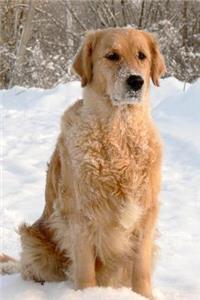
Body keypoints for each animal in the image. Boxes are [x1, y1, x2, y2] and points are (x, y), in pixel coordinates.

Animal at [0, 27, 166, 298]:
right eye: (112, 56)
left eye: (141, 56)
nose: (135, 81)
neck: (119, 133)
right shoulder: (81, 214)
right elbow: (86, 269)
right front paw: (87, 293)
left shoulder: (146, 211)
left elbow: (141, 269)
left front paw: (143, 295)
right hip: (34, 240)